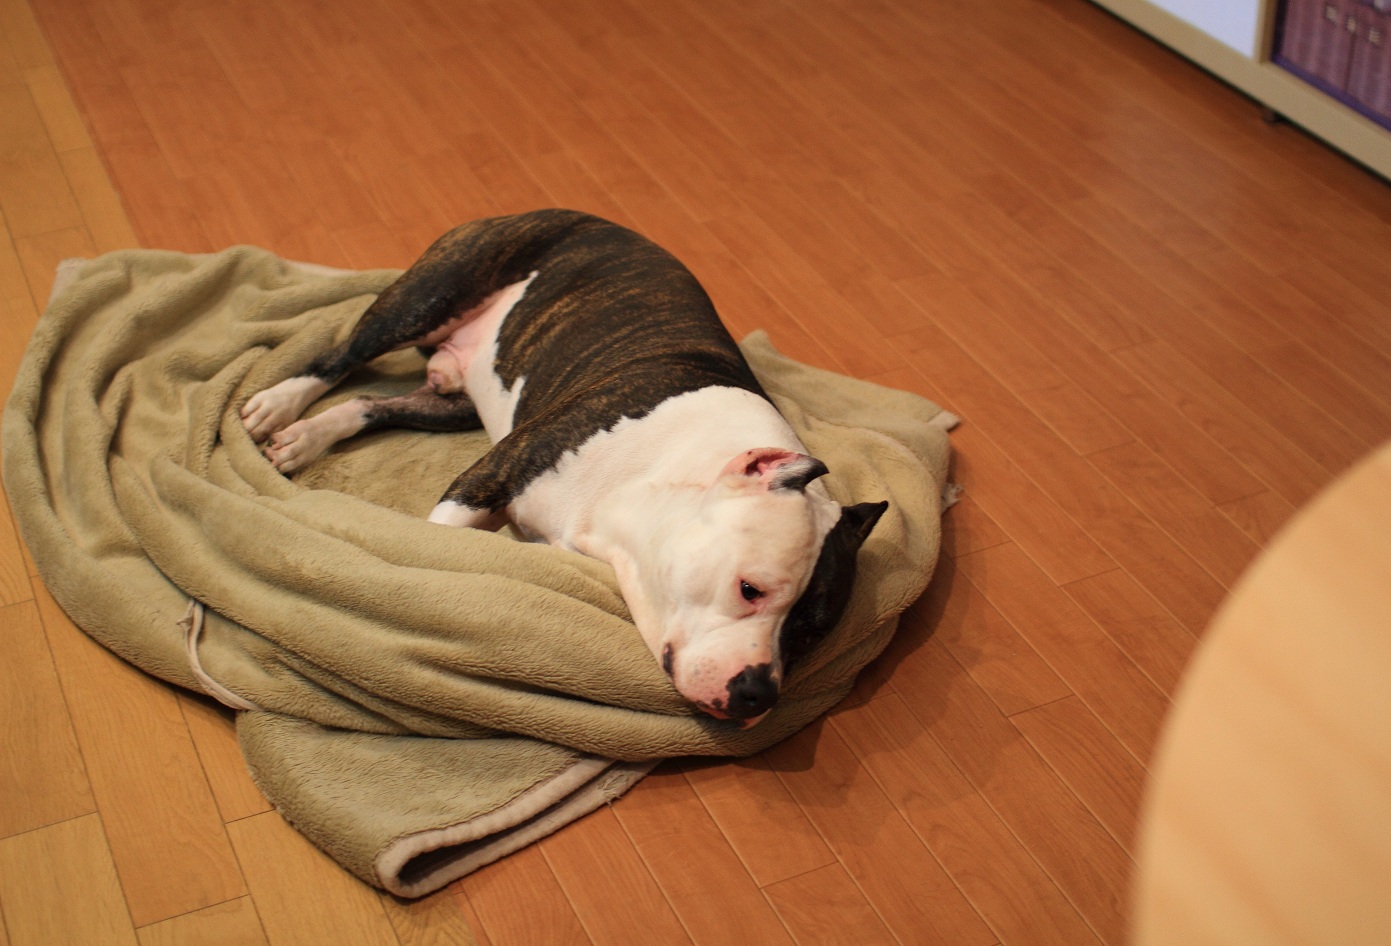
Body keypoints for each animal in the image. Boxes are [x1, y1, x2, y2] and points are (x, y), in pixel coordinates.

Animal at [242, 209, 887, 724]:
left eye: (811, 630)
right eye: (750, 589)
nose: (759, 694)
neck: (647, 488)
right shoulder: (488, 478)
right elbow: (436, 549)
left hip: (459, 405)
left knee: (368, 403)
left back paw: (302, 438)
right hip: (424, 300)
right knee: (340, 356)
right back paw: (279, 403)